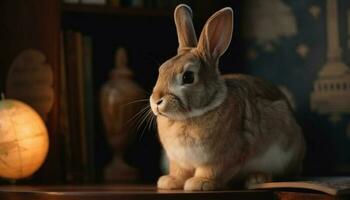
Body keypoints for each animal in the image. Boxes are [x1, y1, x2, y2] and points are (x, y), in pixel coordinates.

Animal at [149, 4, 304, 191]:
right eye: (161, 70)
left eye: (188, 77)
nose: (156, 101)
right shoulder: (178, 161)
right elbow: (179, 172)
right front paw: (169, 182)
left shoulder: (223, 157)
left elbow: (212, 171)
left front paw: (200, 183)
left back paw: (257, 178)